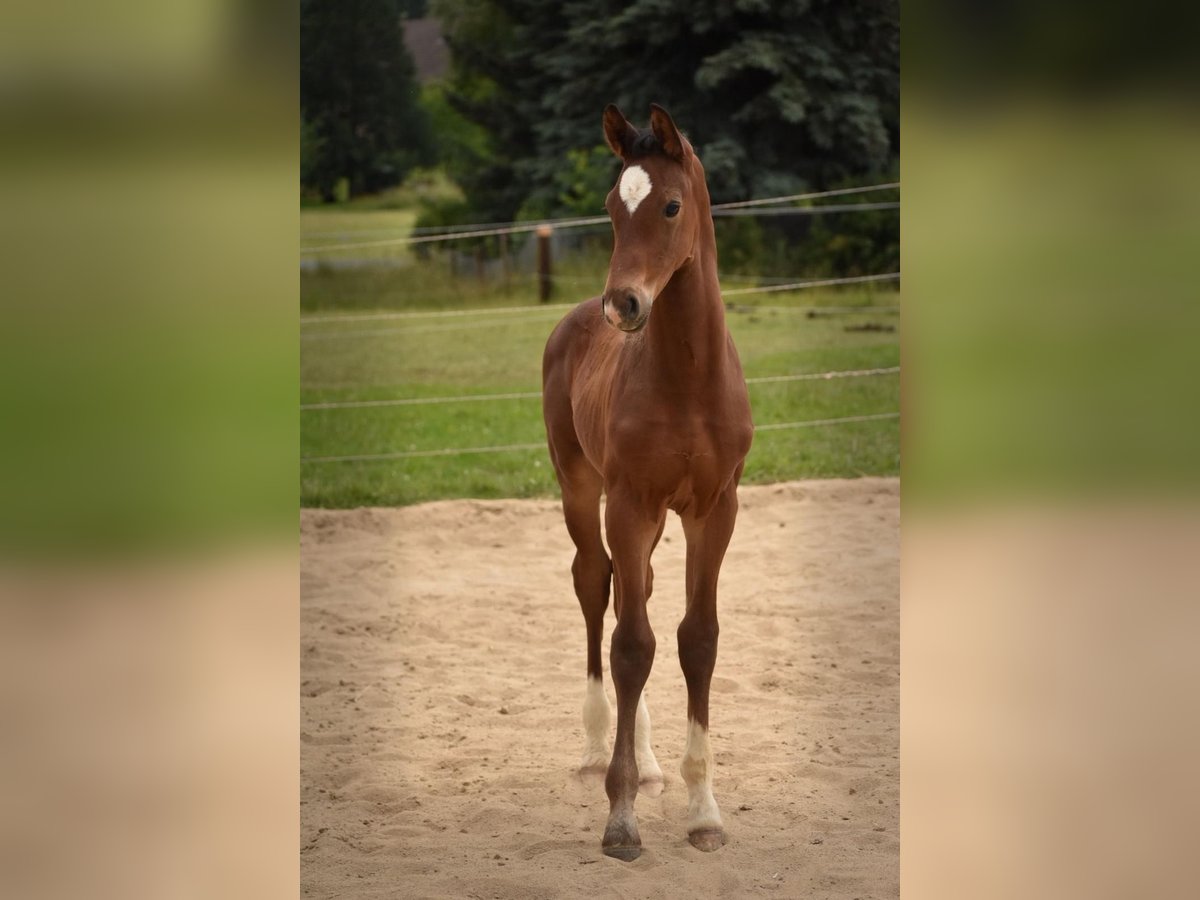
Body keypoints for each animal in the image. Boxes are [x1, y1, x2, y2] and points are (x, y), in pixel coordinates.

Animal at [542, 103, 748, 859]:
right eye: (610, 206)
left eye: (670, 205)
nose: (623, 305)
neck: (687, 380)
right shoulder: (628, 503)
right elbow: (632, 645)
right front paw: (621, 818)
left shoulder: (714, 509)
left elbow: (696, 639)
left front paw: (704, 812)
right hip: (580, 488)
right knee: (594, 585)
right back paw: (598, 748)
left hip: (658, 517)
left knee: (643, 594)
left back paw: (651, 761)